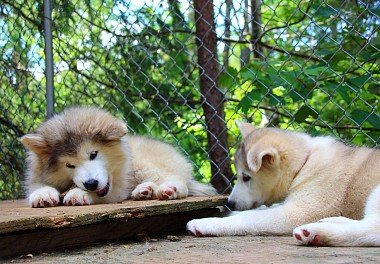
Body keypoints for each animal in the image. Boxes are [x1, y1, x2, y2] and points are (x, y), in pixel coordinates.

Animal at [21, 106, 217, 207]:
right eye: (69, 165)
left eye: (93, 154)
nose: (90, 184)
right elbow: (38, 185)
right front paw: (42, 194)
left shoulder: (118, 188)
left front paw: (78, 193)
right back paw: (144, 191)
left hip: (144, 163)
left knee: (178, 182)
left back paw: (168, 189)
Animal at [188, 122, 380, 246]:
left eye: (246, 177)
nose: (230, 203)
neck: (304, 163)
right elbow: (259, 210)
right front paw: (229, 213)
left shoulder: (300, 211)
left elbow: (251, 217)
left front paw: (207, 222)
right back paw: (332, 221)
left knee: (372, 230)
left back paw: (316, 233)